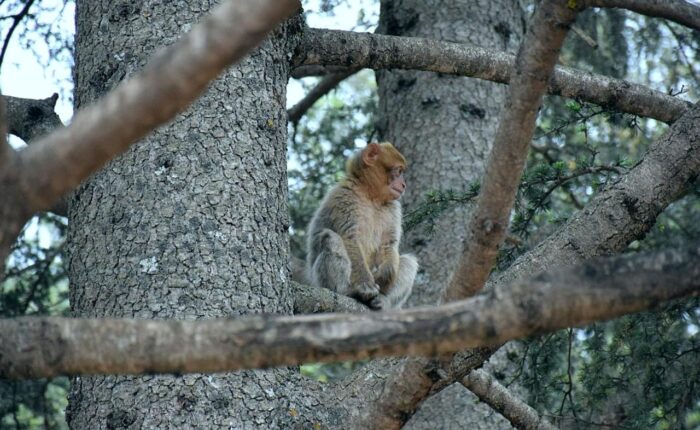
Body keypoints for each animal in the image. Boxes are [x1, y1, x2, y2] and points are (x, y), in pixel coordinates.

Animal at [304, 142, 416, 310]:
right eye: (398, 171)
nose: (403, 185)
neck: (372, 197)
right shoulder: (344, 197)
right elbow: (350, 238)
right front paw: (366, 285)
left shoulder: (394, 208)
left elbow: (388, 244)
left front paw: (383, 276)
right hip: (320, 282)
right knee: (330, 237)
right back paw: (347, 291)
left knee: (410, 262)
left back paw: (383, 300)